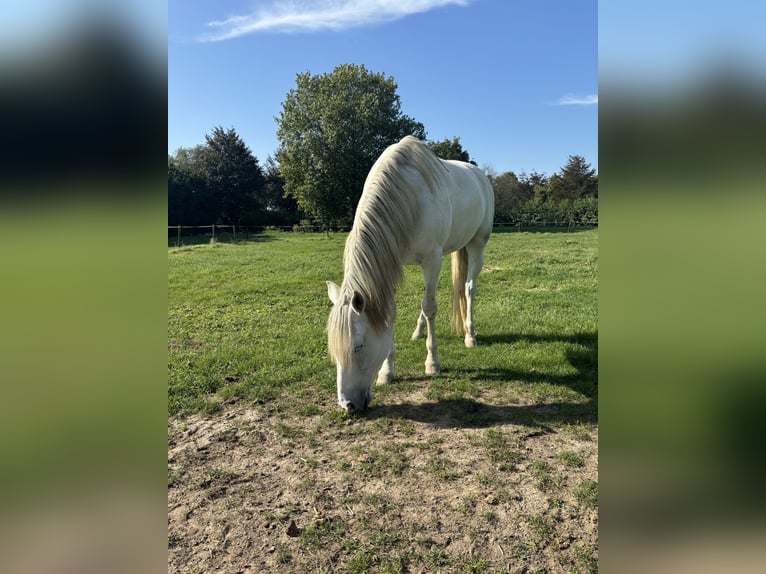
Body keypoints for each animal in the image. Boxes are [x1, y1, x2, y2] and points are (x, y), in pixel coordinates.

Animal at [328, 135, 496, 414]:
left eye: (358, 347)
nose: (348, 405)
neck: (408, 197)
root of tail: (478, 174)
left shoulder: (432, 259)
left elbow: (430, 307)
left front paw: (432, 363)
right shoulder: (392, 264)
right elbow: (392, 313)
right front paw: (387, 371)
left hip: (477, 244)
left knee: (469, 288)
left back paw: (470, 335)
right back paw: (418, 331)